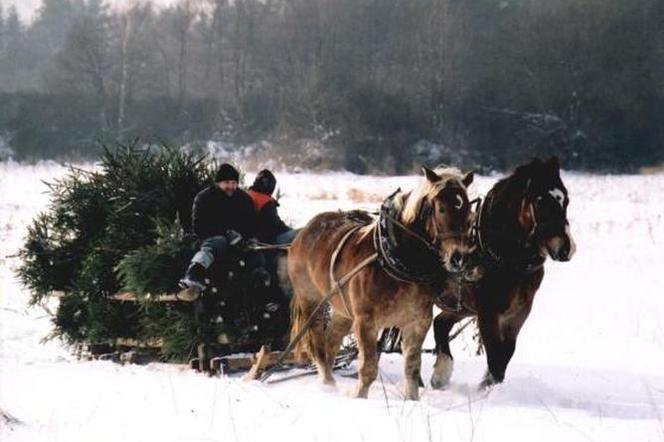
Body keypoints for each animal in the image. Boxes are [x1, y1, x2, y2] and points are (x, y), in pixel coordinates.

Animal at [288, 166, 474, 400]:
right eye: (440, 208)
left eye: (467, 208)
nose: (459, 258)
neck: (398, 263)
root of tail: (306, 229)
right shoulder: (366, 322)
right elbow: (368, 368)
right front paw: (359, 397)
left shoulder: (417, 322)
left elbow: (412, 368)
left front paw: (412, 400)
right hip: (312, 300)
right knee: (318, 341)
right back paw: (327, 382)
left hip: (343, 310)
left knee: (332, 339)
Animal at [430, 156, 576, 390]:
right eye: (540, 200)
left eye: (566, 200)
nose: (565, 248)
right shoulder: (487, 312)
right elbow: (494, 353)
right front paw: (489, 388)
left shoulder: (519, 312)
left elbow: (506, 352)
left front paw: (488, 385)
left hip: (460, 306)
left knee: (440, 324)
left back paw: (440, 375)